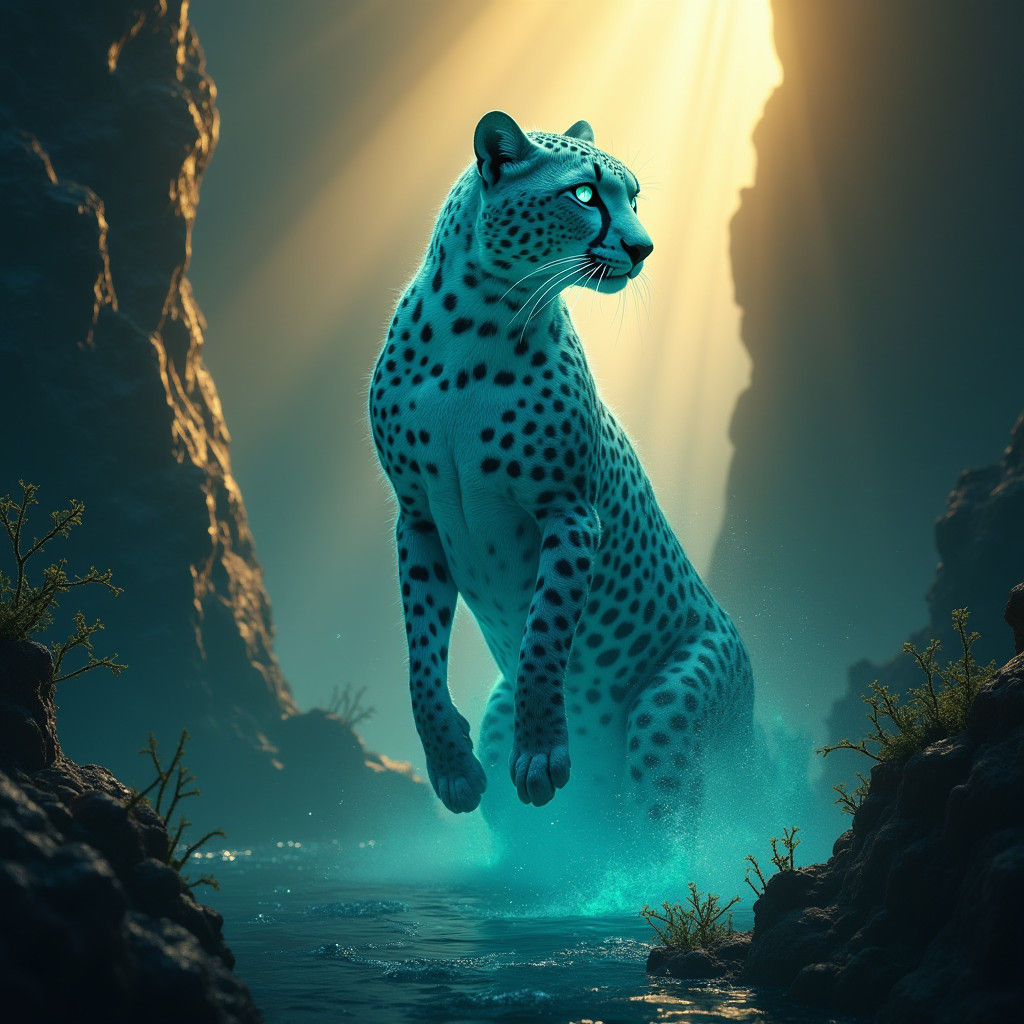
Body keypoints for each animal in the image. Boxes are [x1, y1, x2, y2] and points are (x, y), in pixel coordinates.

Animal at [368, 111, 753, 828]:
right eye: (584, 195)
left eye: (636, 198)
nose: (644, 248)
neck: (477, 322)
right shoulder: (418, 518)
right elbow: (421, 658)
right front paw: (451, 765)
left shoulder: (570, 510)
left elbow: (545, 636)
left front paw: (542, 751)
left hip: (670, 712)